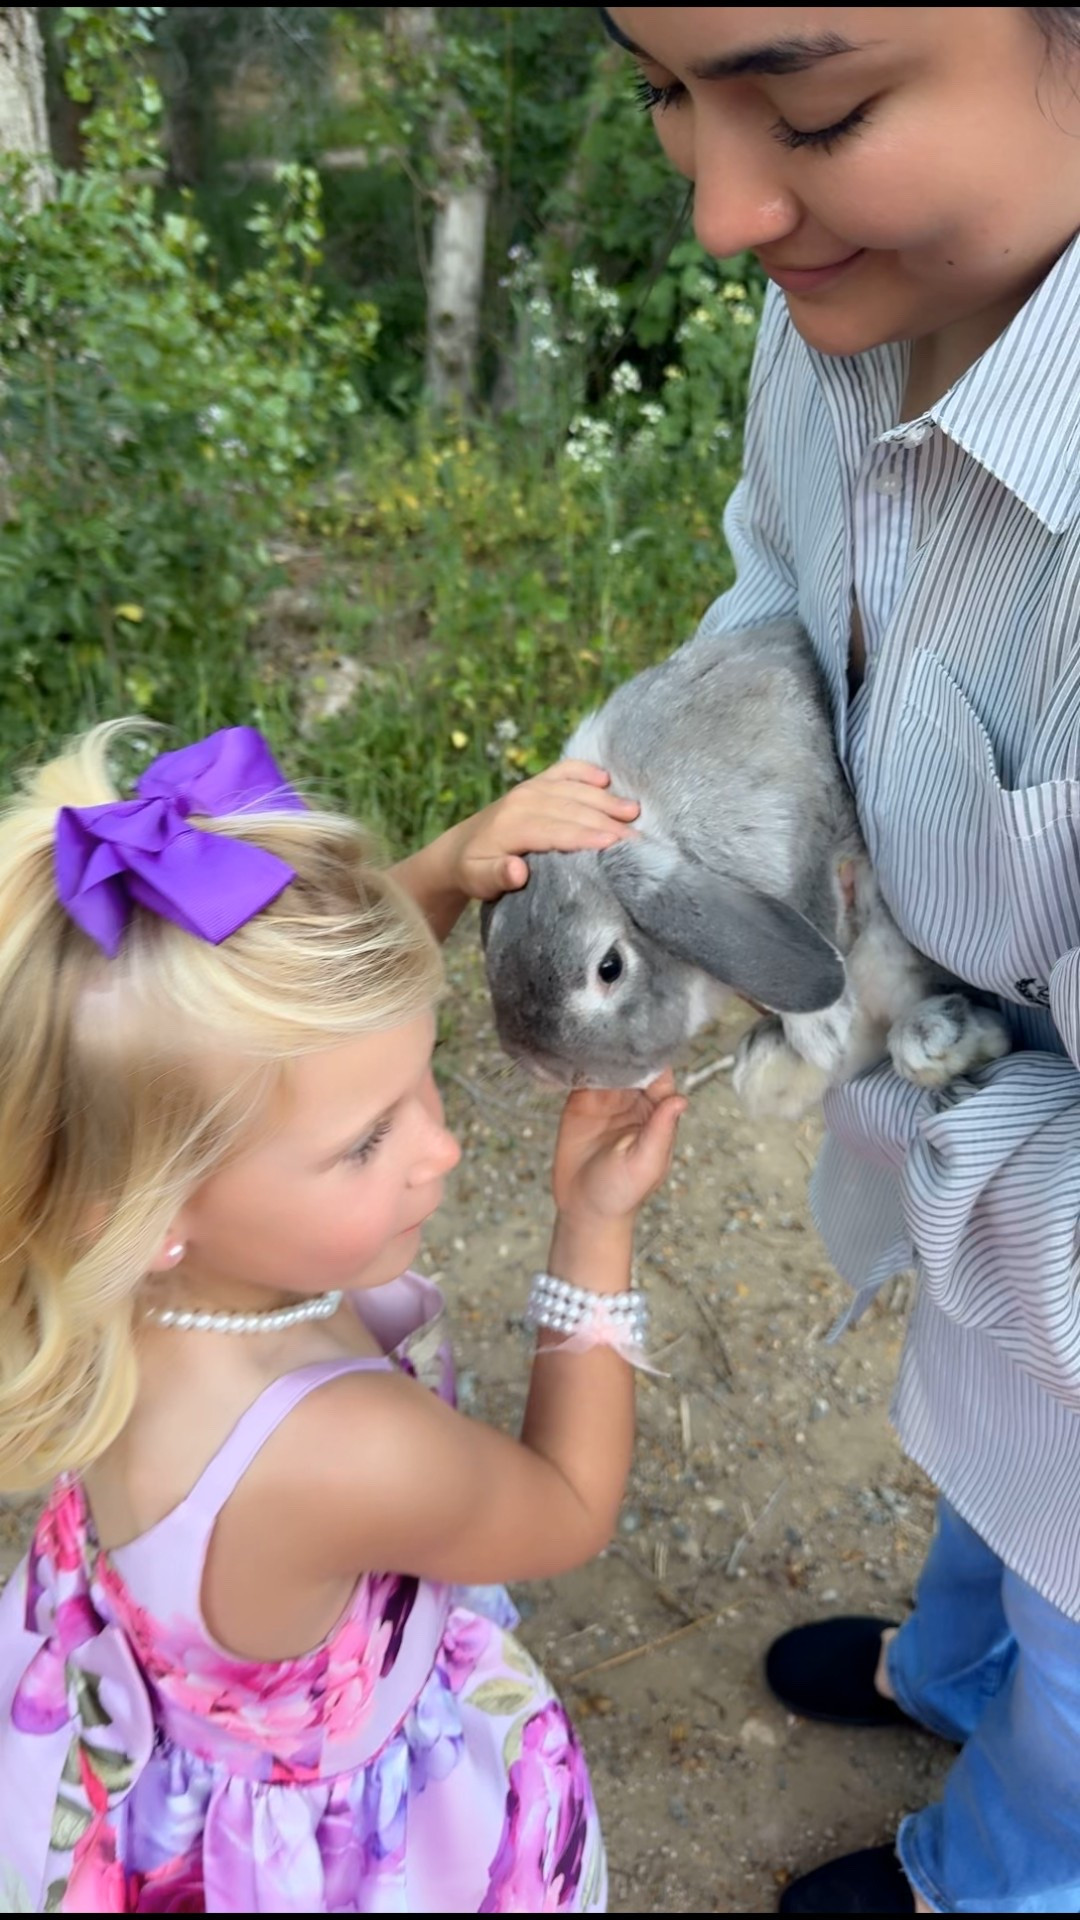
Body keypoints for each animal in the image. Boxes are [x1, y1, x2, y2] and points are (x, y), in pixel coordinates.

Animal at [480, 619, 1011, 1121]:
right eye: (492, 956)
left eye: (610, 968)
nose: (555, 1073)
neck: (646, 812)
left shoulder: (796, 840)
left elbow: (815, 912)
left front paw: (822, 1030)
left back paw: (937, 1037)